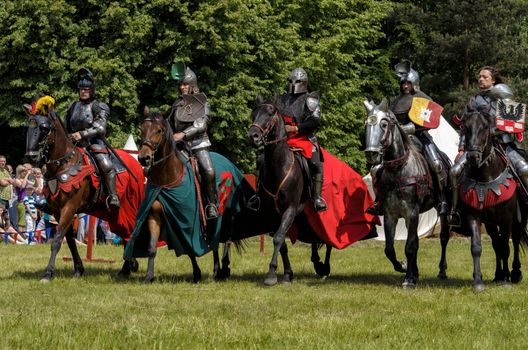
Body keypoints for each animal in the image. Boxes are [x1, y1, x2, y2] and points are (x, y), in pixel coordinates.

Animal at [24, 106, 144, 282]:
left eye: (44, 128)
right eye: (28, 127)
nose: (31, 155)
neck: (64, 164)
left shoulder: (69, 208)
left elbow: (57, 240)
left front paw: (48, 273)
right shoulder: (57, 211)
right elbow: (69, 241)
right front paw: (78, 269)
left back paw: (129, 266)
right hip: (119, 212)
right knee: (125, 234)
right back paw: (126, 268)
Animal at [248, 96, 334, 288]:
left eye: (270, 113)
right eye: (253, 114)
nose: (253, 136)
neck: (279, 166)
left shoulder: (290, 209)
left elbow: (279, 238)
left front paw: (271, 274)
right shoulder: (272, 214)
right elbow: (282, 243)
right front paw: (287, 274)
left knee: (326, 239)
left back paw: (324, 267)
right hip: (304, 214)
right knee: (314, 236)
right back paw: (317, 263)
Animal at [364, 100, 450, 288]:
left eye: (383, 124)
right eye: (366, 124)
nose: (371, 153)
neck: (398, 170)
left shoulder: (412, 213)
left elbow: (410, 246)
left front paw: (409, 280)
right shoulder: (390, 215)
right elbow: (389, 249)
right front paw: (404, 267)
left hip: (443, 211)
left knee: (444, 237)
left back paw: (441, 270)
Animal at [458, 112, 528, 292]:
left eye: (484, 127)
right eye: (465, 127)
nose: (473, 157)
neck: (486, 177)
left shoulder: (506, 219)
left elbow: (506, 247)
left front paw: (506, 280)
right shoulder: (474, 217)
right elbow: (477, 247)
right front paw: (478, 281)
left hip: (519, 220)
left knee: (515, 241)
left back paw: (514, 273)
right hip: (490, 223)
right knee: (496, 244)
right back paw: (498, 275)